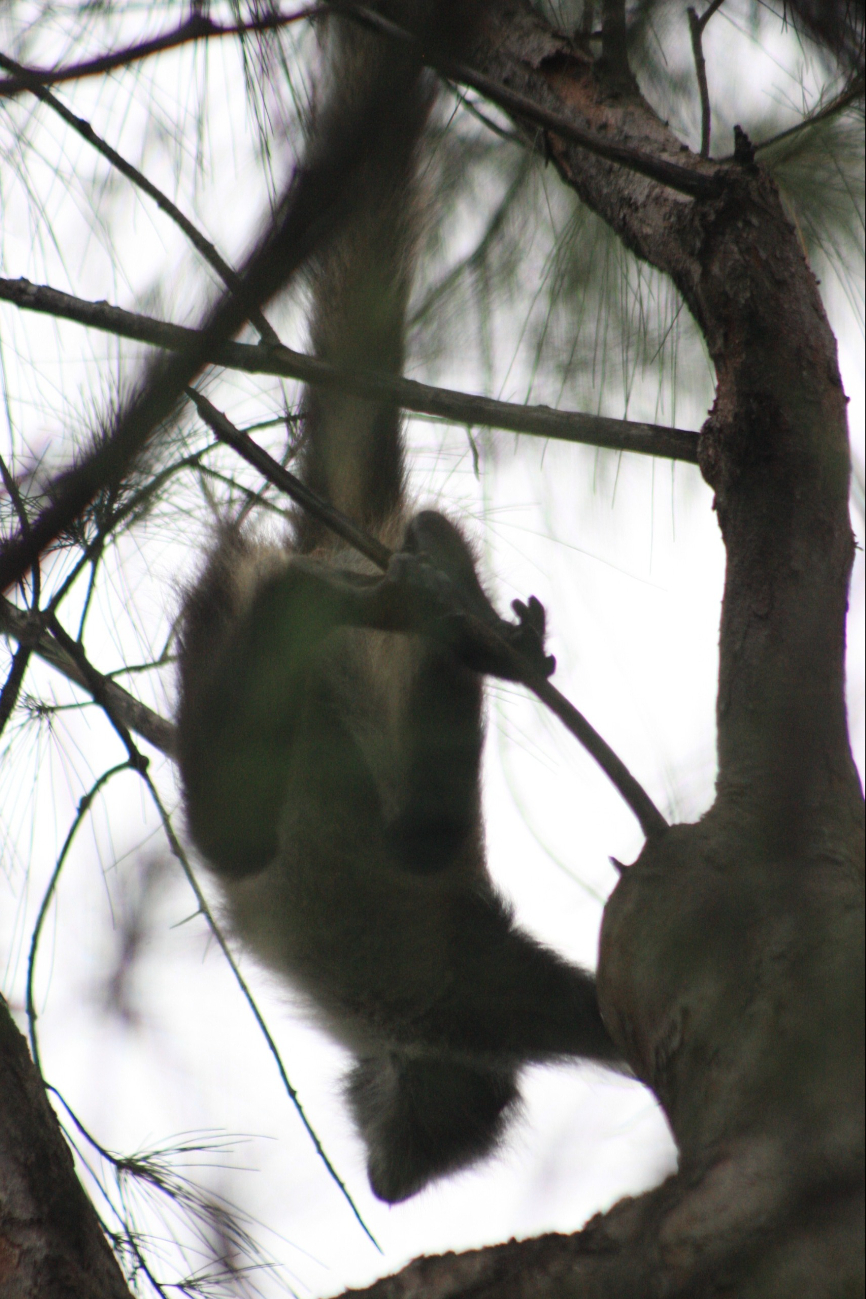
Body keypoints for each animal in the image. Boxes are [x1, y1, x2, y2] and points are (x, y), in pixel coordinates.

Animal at [177, 12, 623, 1205]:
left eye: (428, 1160)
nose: (386, 1185)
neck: (423, 1030)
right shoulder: (501, 1000)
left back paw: (424, 585)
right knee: (267, 826)